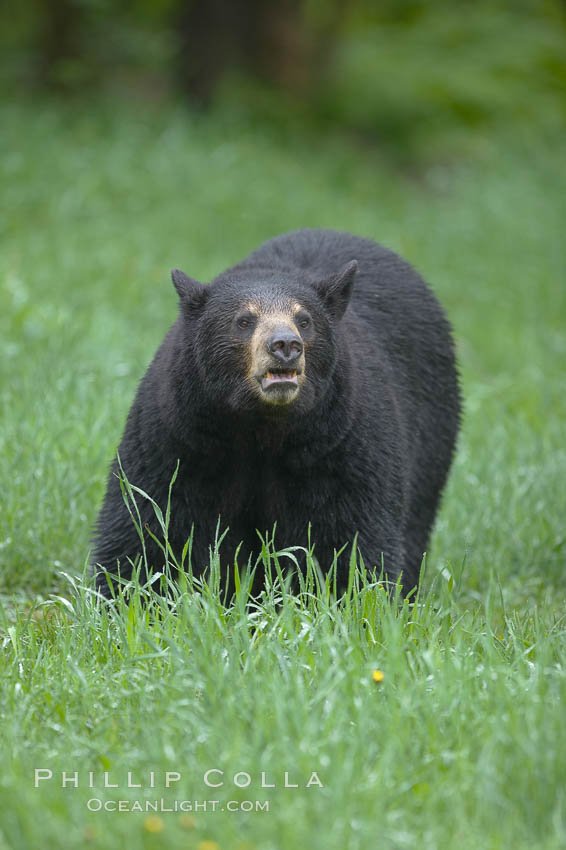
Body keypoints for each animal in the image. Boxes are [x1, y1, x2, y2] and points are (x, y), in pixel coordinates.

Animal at [92, 229, 462, 592]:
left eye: (305, 319)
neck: (262, 427)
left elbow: (353, 533)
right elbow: (146, 517)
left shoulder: (344, 441)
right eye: (244, 320)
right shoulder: (179, 434)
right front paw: (123, 592)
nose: (285, 344)